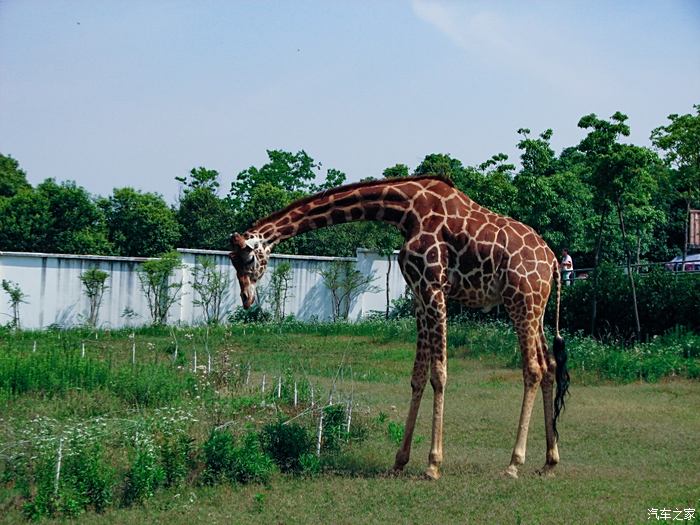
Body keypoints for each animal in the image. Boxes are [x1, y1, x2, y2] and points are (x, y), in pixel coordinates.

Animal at [230, 176, 568, 478]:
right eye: (232, 261)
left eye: (248, 259)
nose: (246, 299)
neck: (406, 210)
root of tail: (553, 261)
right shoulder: (419, 294)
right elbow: (418, 376)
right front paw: (400, 460)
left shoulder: (434, 287)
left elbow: (439, 374)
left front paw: (433, 464)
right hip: (536, 309)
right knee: (550, 364)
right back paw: (549, 461)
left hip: (521, 301)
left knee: (533, 369)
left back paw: (514, 463)